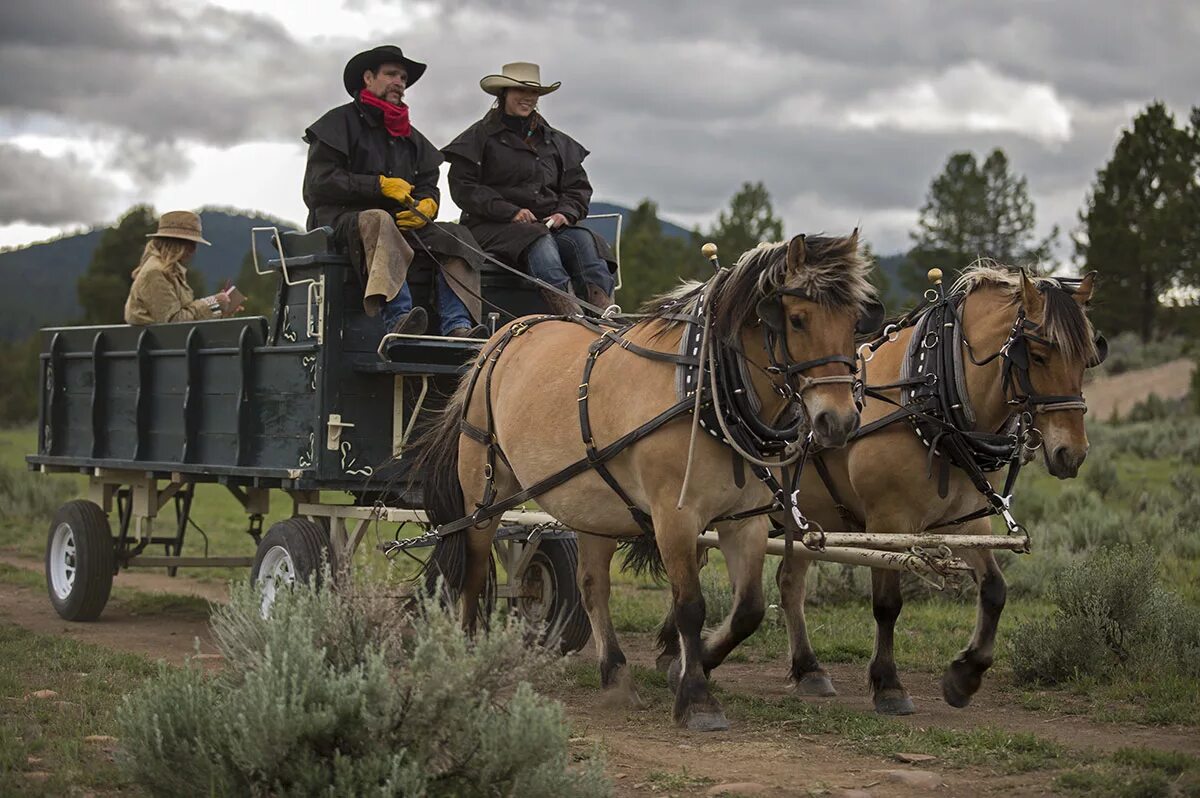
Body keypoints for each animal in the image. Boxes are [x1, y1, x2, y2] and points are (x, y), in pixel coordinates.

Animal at [420, 230, 883, 729]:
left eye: (855, 321)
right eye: (797, 320)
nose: (838, 421)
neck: (703, 385)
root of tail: (501, 336)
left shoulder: (744, 520)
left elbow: (749, 609)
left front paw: (688, 664)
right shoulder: (673, 518)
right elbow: (690, 606)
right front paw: (697, 697)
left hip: (593, 503)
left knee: (592, 587)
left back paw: (615, 675)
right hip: (483, 495)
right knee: (473, 573)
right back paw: (469, 656)